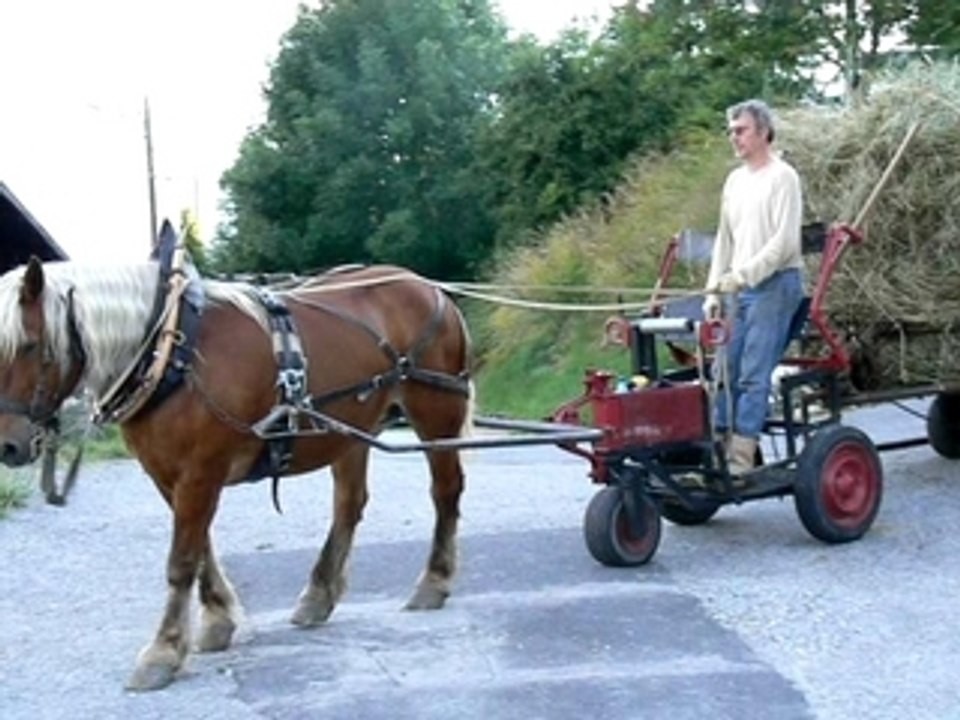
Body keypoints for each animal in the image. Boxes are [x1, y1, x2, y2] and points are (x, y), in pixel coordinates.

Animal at [0, 254, 473, 691]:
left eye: (29, 345)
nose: (9, 445)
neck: (173, 351)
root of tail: (428, 288)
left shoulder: (200, 474)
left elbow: (182, 561)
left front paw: (163, 651)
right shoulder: (169, 476)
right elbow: (202, 550)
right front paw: (217, 618)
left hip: (436, 412)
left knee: (445, 491)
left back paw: (433, 581)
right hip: (351, 428)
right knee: (349, 504)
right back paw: (319, 594)